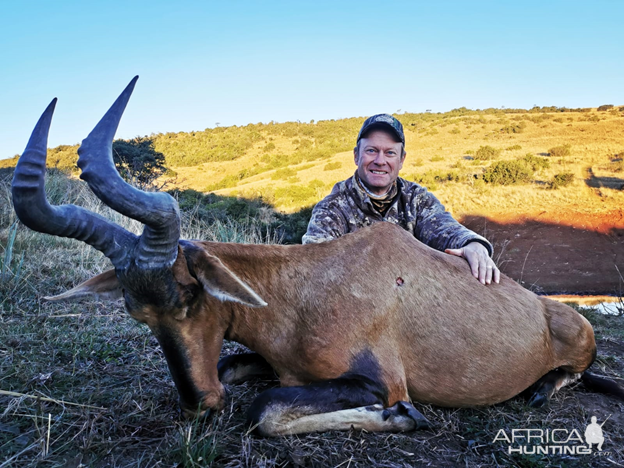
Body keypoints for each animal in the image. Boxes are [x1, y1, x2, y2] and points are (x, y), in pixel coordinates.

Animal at [11, 77, 624, 436]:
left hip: (575, 341)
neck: (307, 288)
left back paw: (540, 390)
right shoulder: (272, 362)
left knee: (574, 373)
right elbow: (240, 372)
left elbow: (264, 411)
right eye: (138, 312)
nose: (199, 403)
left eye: (189, 294)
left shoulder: (377, 379)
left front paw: (404, 416)